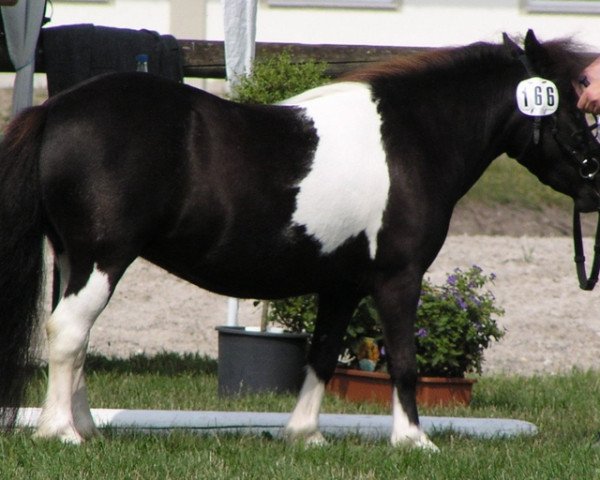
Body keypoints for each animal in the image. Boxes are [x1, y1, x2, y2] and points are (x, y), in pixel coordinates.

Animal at [1, 31, 600, 450]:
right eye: (575, 108)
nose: (594, 181)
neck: (412, 140)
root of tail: (55, 108)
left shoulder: (343, 285)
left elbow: (323, 355)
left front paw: (306, 435)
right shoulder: (398, 278)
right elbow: (404, 361)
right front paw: (414, 441)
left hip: (72, 258)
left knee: (75, 339)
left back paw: (83, 427)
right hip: (102, 259)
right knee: (68, 333)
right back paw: (61, 433)